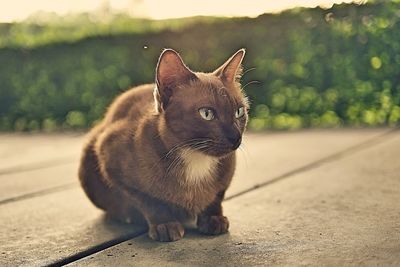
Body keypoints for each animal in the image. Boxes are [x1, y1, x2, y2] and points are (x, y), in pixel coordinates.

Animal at [78, 48, 248, 243]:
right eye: (207, 113)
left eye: (239, 112)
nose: (236, 138)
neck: (195, 159)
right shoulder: (108, 156)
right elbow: (149, 200)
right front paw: (165, 225)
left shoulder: (226, 175)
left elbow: (215, 197)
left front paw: (213, 219)